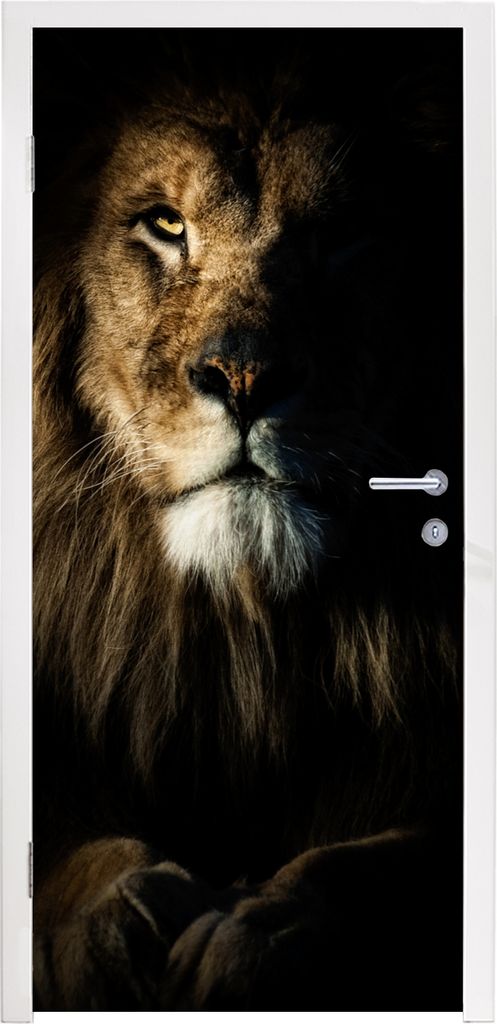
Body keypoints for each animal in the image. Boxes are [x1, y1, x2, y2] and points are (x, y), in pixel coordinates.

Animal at [33, 32, 463, 1010]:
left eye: (340, 235)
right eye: (164, 224)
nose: (243, 377)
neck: (239, 639)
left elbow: (374, 865)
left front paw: (261, 933)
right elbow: (70, 854)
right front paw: (117, 916)